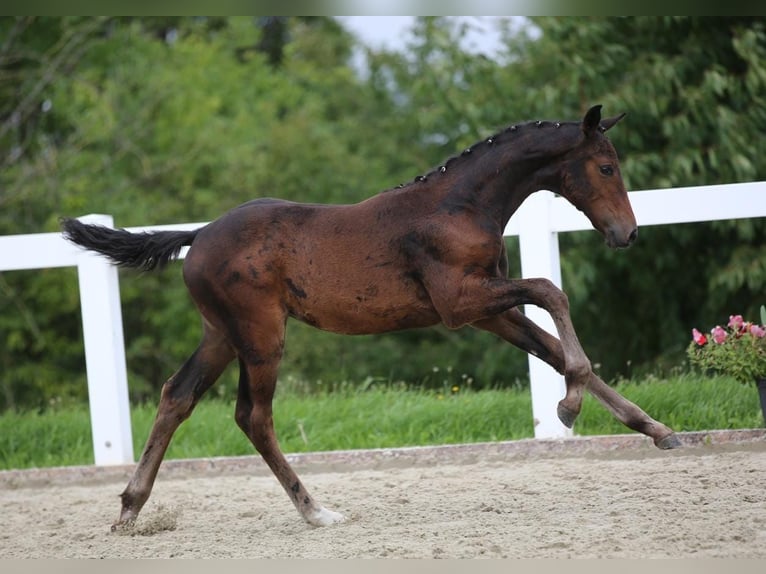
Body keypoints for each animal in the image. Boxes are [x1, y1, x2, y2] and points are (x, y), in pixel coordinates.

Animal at [61, 105, 681, 531]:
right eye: (605, 166)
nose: (627, 234)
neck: (458, 207)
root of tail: (198, 235)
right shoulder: (460, 303)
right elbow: (553, 294)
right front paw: (570, 407)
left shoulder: (489, 313)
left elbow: (553, 349)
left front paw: (656, 429)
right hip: (261, 335)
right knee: (252, 417)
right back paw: (316, 512)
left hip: (221, 335)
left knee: (177, 395)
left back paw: (130, 509)